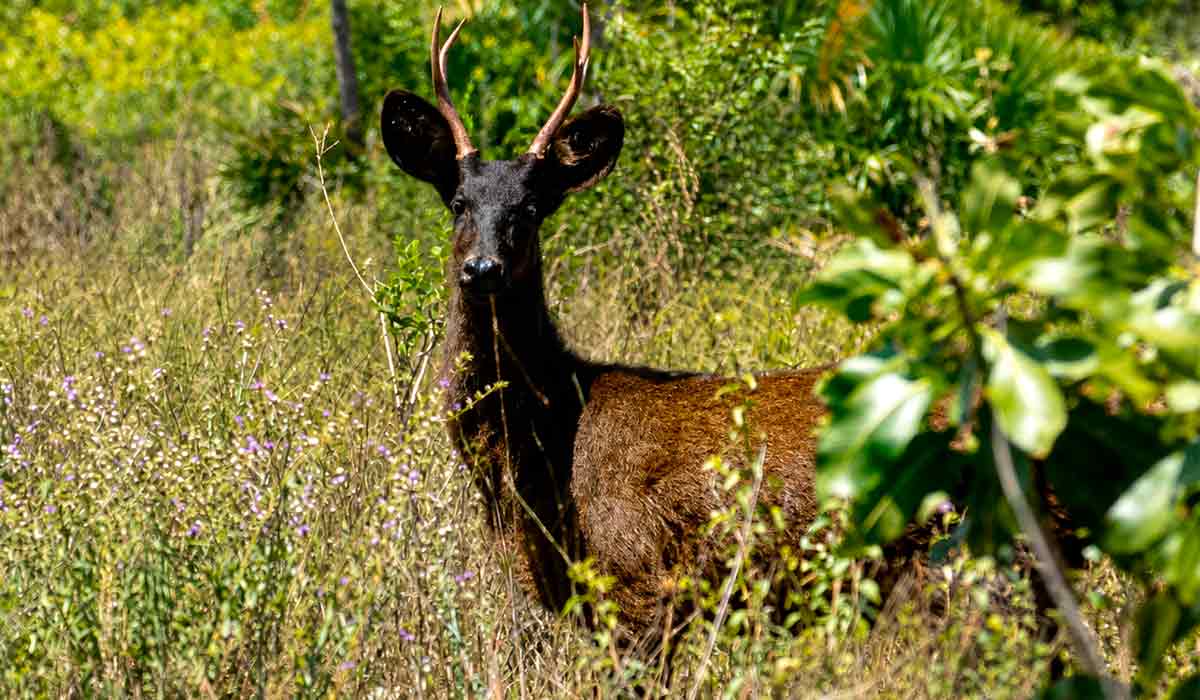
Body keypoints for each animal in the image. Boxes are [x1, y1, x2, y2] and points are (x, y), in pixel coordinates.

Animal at [380, 4, 1078, 684]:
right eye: (459, 202)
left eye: (529, 209)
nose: (484, 269)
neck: (544, 449)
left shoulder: (641, 581)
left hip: (969, 561)